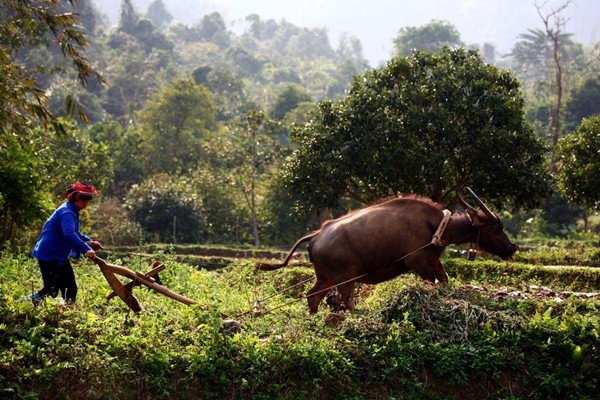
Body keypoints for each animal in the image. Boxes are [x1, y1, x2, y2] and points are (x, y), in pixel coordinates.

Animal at [255, 189, 516, 314]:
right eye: (497, 227)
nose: (513, 247)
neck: (437, 225)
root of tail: (317, 235)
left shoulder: (433, 260)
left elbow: (444, 280)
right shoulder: (418, 262)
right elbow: (432, 282)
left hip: (325, 277)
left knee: (313, 296)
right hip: (345, 277)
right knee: (345, 300)